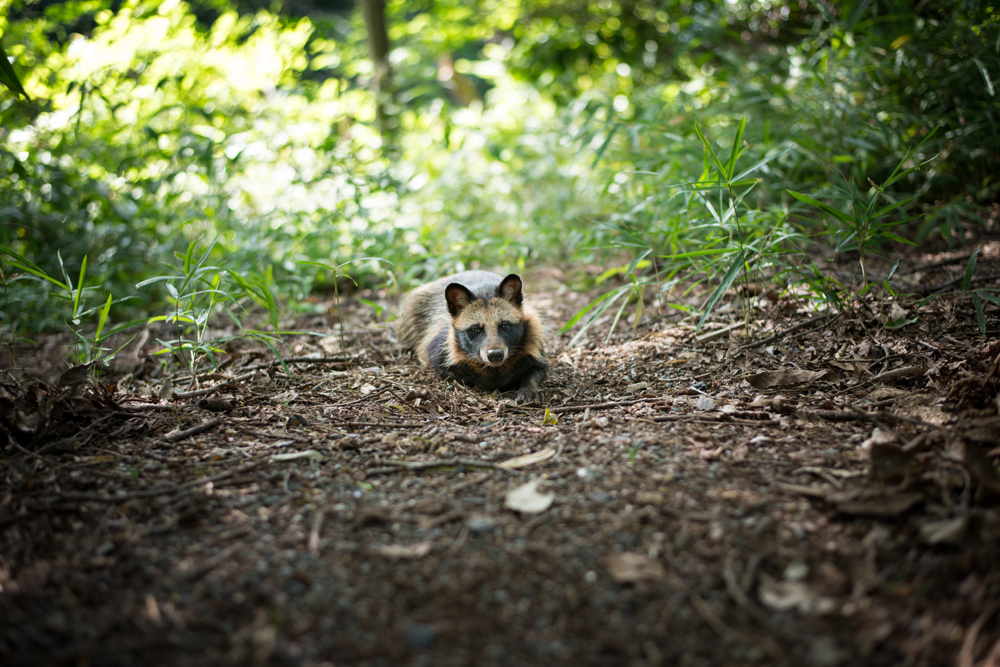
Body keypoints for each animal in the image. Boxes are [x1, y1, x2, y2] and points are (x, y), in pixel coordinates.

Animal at [398, 270, 552, 404]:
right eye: (475, 330)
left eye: (505, 326)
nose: (495, 355)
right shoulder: (439, 345)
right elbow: (452, 373)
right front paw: (482, 382)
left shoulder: (534, 339)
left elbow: (539, 368)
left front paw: (528, 387)